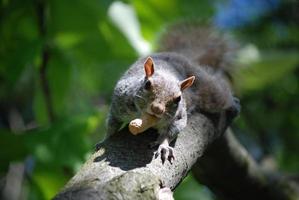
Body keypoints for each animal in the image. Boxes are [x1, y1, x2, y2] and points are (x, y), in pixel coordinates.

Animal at [98, 22, 241, 163]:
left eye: (178, 98)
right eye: (147, 84)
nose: (157, 109)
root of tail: (182, 56)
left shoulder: (179, 116)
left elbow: (171, 131)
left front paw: (164, 147)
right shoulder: (119, 103)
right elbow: (112, 124)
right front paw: (104, 140)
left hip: (209, 92)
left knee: (220, 94)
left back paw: (234, 105)